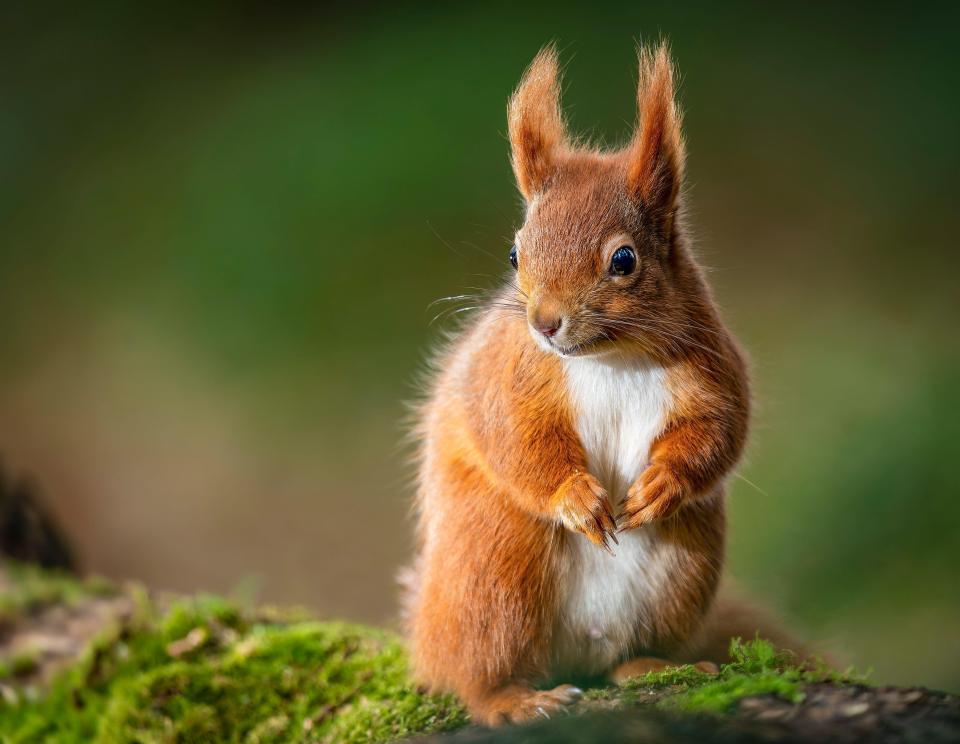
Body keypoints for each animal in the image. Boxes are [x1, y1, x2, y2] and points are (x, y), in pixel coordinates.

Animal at [404, 43, 796, 724]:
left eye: (624, 260)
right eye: (515, 254)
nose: (544, 323)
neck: (611, 358)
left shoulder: (711, 367)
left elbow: (719, 430)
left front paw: (663, 483)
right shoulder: (509, 377)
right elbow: (517, 441)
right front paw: (574, 498)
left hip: (683, 570)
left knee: (620, 658)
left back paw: (656, 666)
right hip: (495, 568)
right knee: (471, 676)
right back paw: (514, 700)